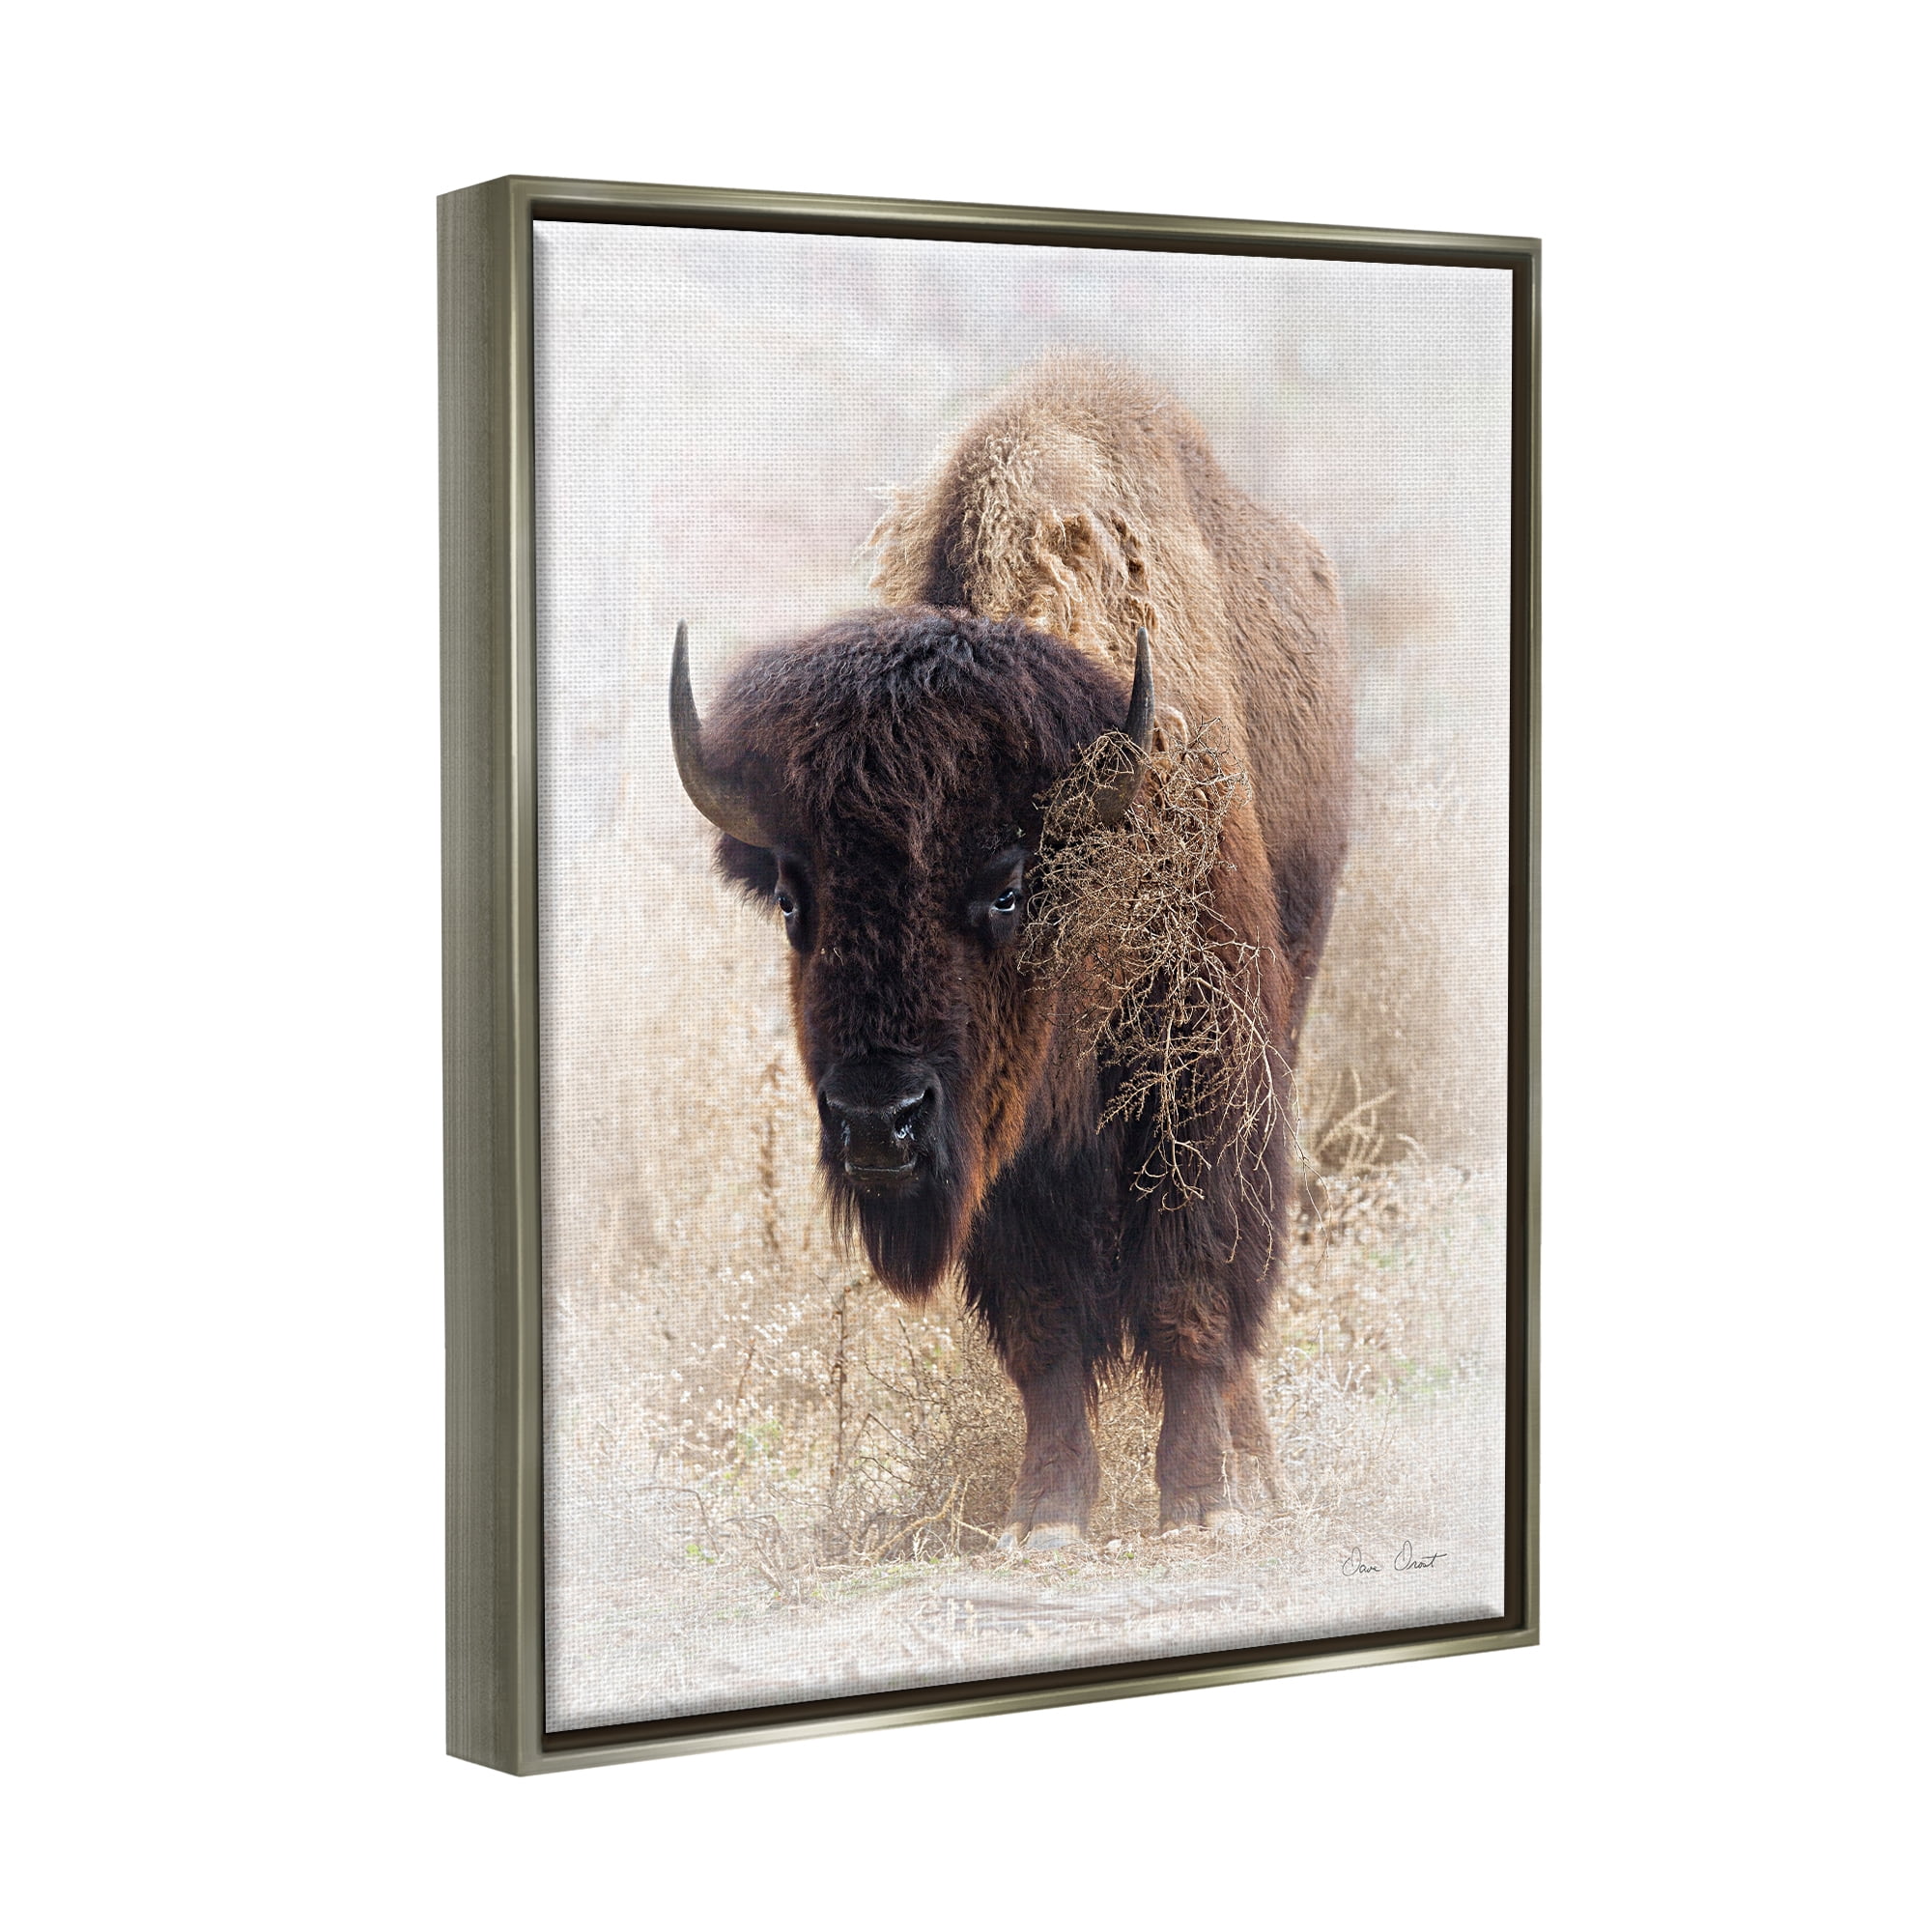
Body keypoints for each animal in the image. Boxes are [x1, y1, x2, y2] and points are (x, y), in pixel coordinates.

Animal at [669, 357, 1351, 1548]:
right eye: (795, 900)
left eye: (1004, 885)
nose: (876, 1120)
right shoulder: (1005, 1162)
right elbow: (1044, 1328)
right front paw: (1048, 1510)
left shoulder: (1205, 1088)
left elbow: (1192, 1292)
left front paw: (1198, 1501)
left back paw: (1257, 1471)